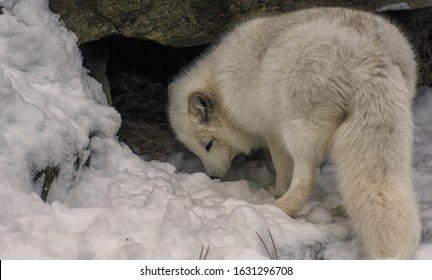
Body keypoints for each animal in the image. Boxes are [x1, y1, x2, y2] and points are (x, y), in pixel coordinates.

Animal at [168, 7, 422, 260]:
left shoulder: (272, 129)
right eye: (196, 150)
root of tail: (374, 55)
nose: (212, 177)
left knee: (306, 178)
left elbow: (281, 167)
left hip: (298, 131)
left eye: (208, 145)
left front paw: (276, 190)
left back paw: (279, 208)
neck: (221, 86)